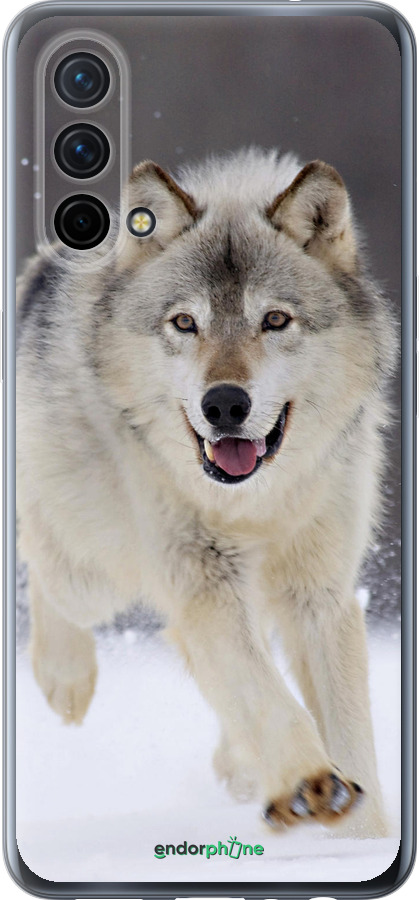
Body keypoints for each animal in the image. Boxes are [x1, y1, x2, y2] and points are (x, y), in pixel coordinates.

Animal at [16, 148, 395, 837]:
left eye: (275, 320)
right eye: (185, 323)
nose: (223, 404)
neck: (255, 504)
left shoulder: (319, 594)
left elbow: (349, 732)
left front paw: (363, 838)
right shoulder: (203, 580)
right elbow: (266, 695)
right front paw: (309, 783)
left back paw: (241, 767)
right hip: (95, 572)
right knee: (43, 561)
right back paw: (66, 679)